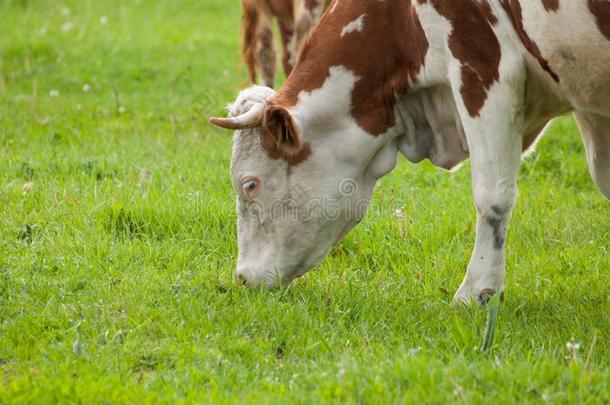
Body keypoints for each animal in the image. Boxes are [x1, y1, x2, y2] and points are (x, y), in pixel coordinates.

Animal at [210, 0, 608, 304]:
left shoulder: (481, 62)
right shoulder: (587, 95)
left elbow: (492, 196)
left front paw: (476, 292)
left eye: (249, 184)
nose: (242, 277)